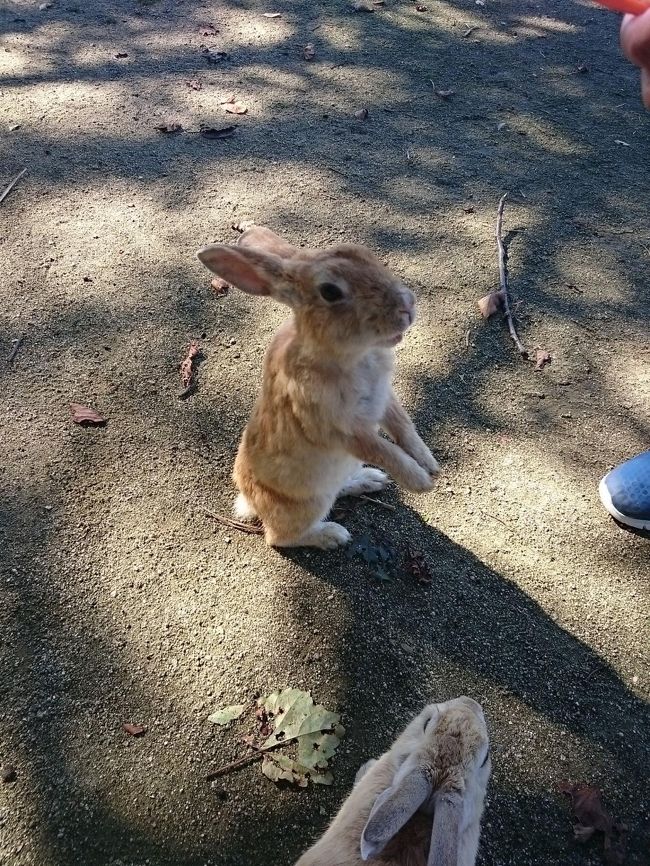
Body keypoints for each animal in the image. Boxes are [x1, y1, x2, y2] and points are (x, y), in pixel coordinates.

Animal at [196, 224, 440, 548]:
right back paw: (333, 535)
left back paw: (369, 480)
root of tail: (249, 502)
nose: (407, 306)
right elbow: (384, 449)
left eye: (363, 253)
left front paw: (430, 465)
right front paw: (421, 482)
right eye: (330, 291)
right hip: (308, 504)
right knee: (280, 538)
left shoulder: (385, 399)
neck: (351, 355)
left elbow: (404, 429)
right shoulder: (342, 429)